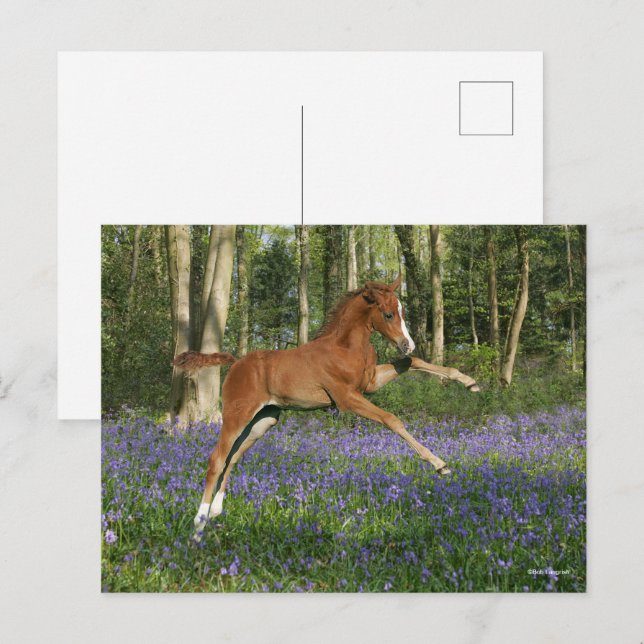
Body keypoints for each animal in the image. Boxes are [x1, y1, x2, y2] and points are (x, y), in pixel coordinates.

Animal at [174, 276, 480, 542]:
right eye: (389, 314)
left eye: (401, 311)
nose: (407, 344)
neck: (345, 347)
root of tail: (236, 362)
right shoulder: (347, 398)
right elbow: (391, 419)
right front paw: (440, 464)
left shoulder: (370, 383)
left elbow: (413, 363)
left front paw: (469, 382)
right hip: (236, 416)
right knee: (216, 459)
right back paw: (198, 527)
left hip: (263, 421)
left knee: (233, 458)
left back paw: (215, 511)